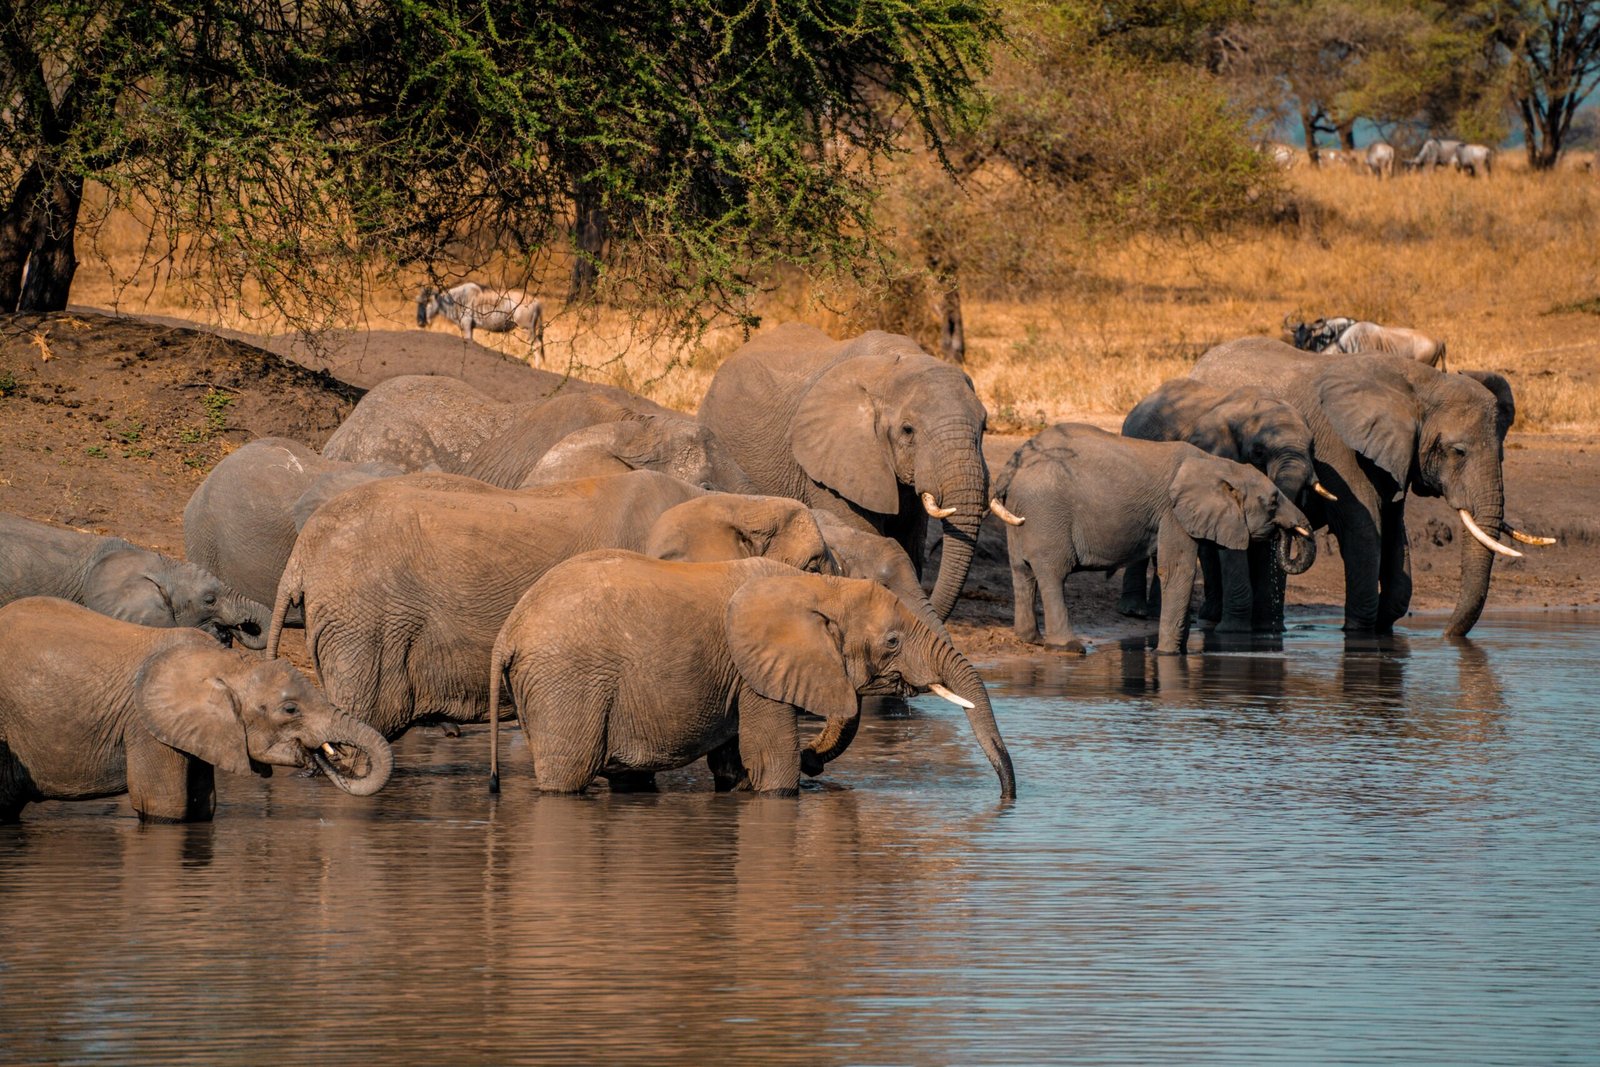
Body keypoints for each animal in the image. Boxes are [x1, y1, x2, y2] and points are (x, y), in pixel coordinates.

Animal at [0, 597, 392, 822]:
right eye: (290, 709)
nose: (320, 763)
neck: (228, 664)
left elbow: (204, 804)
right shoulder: (146, 726)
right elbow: (165, 806)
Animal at [487, 552, 1016, 797]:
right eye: (892, 642)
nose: (1008, 798)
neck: (820, 586)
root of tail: (508, 631)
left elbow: (735, 765)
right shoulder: (757, 673)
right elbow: (773, 768)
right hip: (565, 682)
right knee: (568, 772)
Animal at [987, 424, 1314, 655]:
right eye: (1273, 502)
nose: (1289, 531)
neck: (1216, 464)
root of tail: (1012, 466)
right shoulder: (1172, 513)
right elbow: (1178, 572)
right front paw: (1167, 655)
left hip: (1023, 513)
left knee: (1022, 571)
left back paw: (1030, 639)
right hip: (1046, 511)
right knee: (1053, 573)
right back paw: (1069, 648)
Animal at [1189, 340, 1551, 636]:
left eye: (1501, 454)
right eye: (1458, 451)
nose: (1446, 635)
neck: (1421, 385)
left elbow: (1392, 531)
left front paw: (1382, 626)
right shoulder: (1338, 448)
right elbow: (1363, 530)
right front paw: (1357, 631)